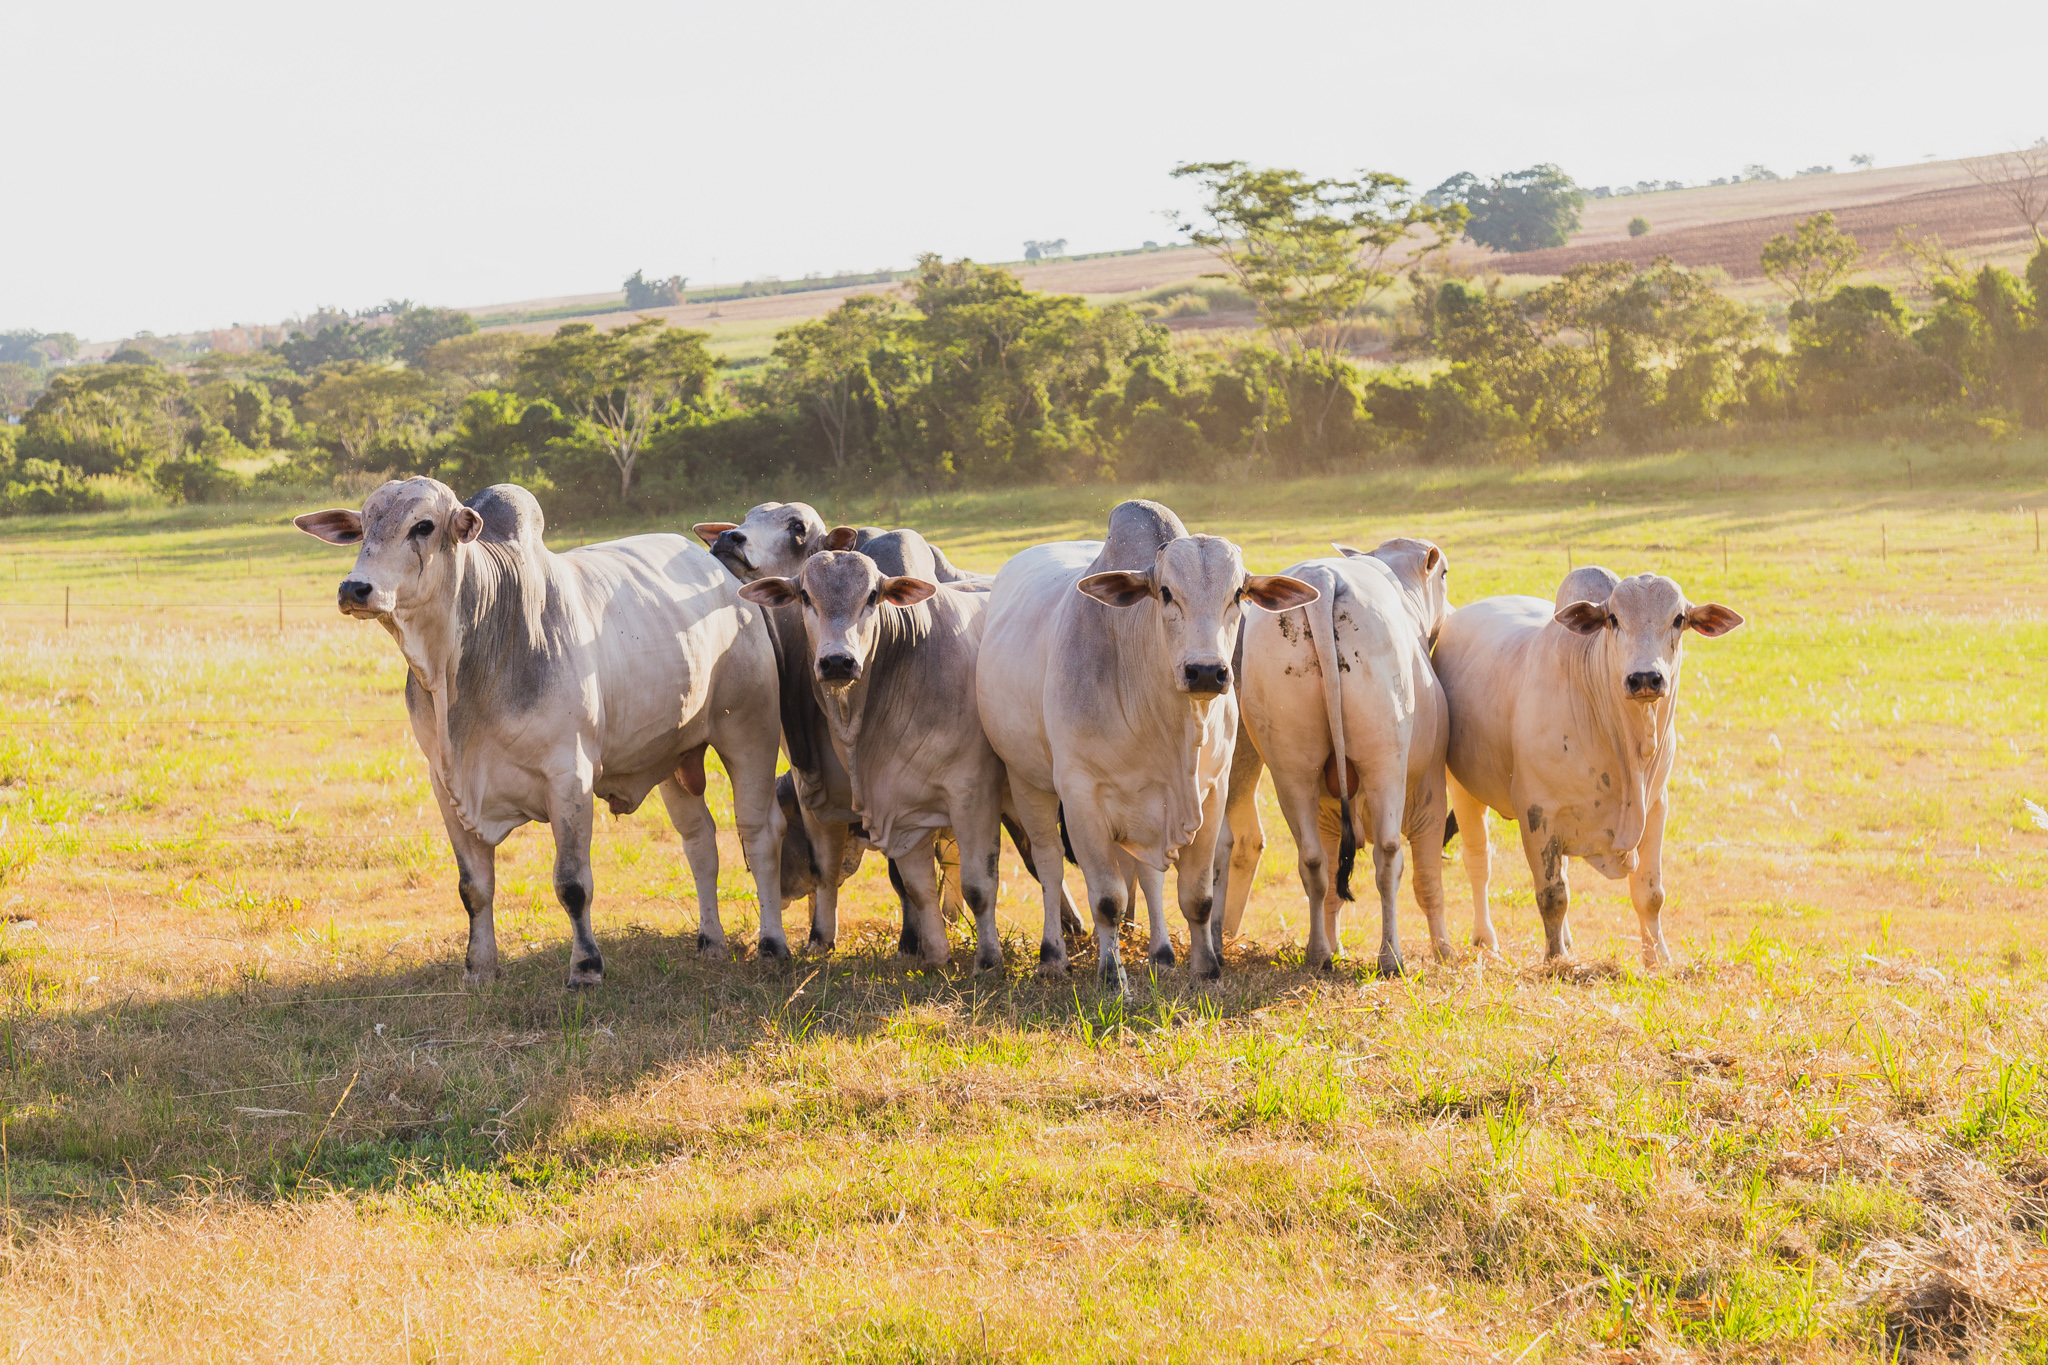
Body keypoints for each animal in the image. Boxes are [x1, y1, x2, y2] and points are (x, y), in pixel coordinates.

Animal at [292, 478, 786, 982]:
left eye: (423, 526)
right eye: (364, 526)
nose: (355, 588)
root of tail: (726, 578)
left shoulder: (569, 777)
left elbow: (572, 883)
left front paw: (586, 966)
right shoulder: (444, 785)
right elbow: (474, 886)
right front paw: (479, 967)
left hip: (750, 732)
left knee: (759, 834)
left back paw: (772, 944)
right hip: (672, 757)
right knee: (699, 840)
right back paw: (711, 941)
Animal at [745, 532, 1015, 970]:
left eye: (872, 596)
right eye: (804, 595)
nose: (837, 661)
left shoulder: (973, 796)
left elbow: (978, 885)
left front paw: (988, 961)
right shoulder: (900, 810)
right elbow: (915, 887)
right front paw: (935, 956)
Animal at [970, 501, 1310, 994]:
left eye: (1238, 593)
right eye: (1165, 593)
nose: (1205, 672)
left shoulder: (1212, 793)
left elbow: (1198, 896)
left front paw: (1205, 966)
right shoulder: (1081, 797)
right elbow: (1107, 899)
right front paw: (1113, 976)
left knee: (1148, 875)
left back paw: (1162, 954)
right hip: (1027, 780)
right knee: (1049, 863)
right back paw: (1053, 955)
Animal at [1212, 540, 1458, 978]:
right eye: (1444, 574)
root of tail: (1323, 578)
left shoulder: (1328, 814)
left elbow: (1329, 882)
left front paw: (1334, 945)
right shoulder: (1430, 796)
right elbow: (1428, 882)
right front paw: (1444, 951)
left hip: (1291, 770)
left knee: (1312, 862)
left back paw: (1319, 953)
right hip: (1384, 762)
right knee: (1388, 857)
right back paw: (1390, 956)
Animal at [1425, 568, 1744, 970]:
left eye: (1678, 619)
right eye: (1614, 619)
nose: (1645, 678)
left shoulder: (1656, 806)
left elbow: (1650, 893)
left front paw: (1657, 958)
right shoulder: (1537, 813)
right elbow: (1552, 895)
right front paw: (1556, 960)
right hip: (1462, 788)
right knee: (1479, 861)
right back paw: (1486, 939)